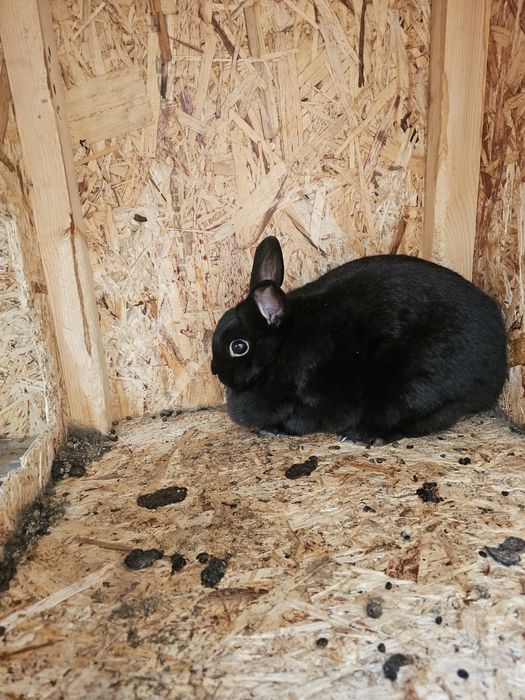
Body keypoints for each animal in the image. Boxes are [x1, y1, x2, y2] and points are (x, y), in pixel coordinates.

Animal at [211, 236, 508, 445]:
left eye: (238, 346)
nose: (215, 371)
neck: (281, 347)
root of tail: (497, 367)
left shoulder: (312, 398)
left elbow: (302, 422)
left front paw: (273, 430)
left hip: (415, 385)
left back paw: (362, 435)